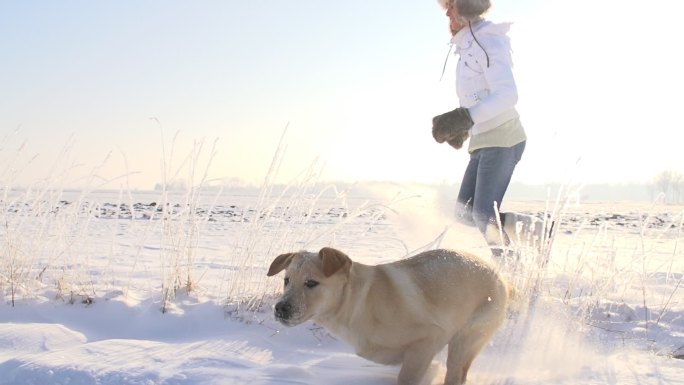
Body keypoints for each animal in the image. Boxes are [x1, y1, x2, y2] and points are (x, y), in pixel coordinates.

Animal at [264, 246, 510, 384]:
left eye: (312, 283)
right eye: (286, 281)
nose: (280, 308)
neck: (359, 304)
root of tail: (499, 276)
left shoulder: (428, 339)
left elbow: (407, 377)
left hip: (464, 341)